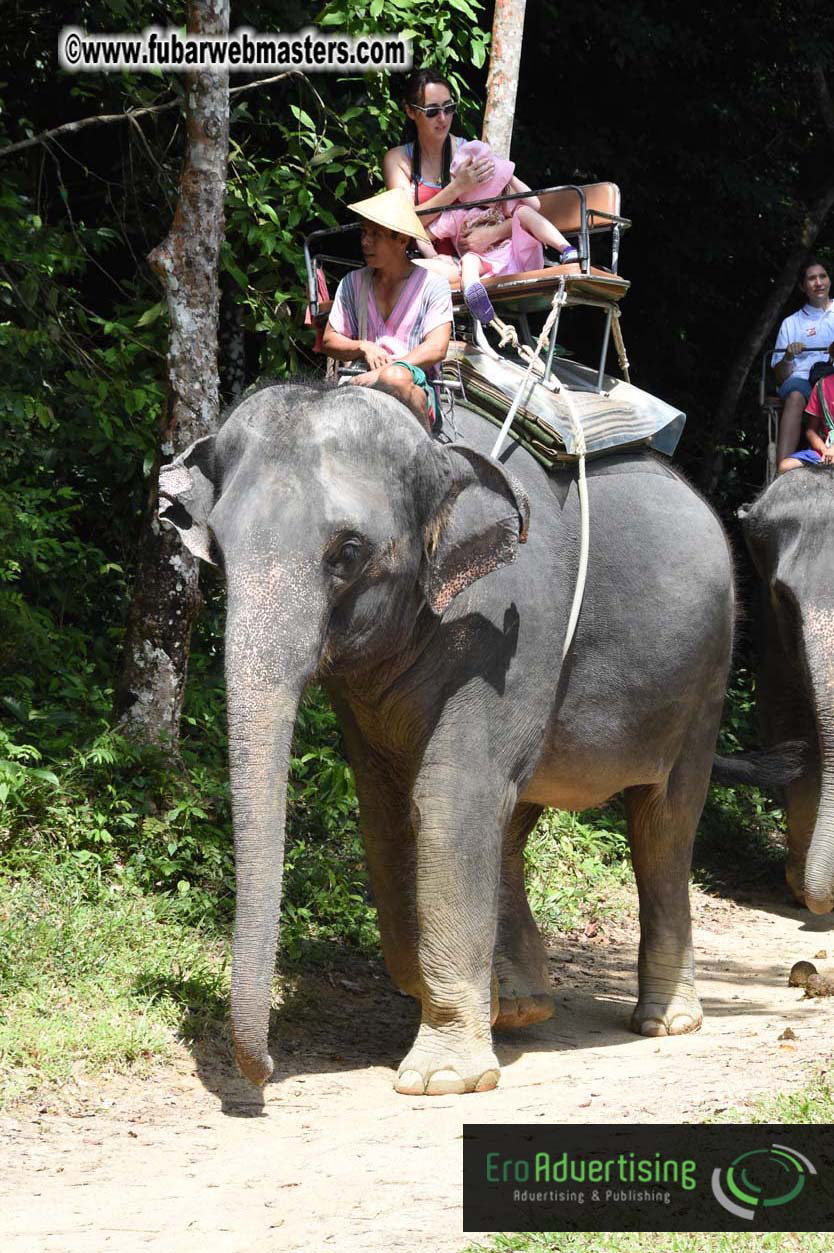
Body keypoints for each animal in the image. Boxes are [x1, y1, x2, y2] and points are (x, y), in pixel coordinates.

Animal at [159, 380, 734, 1095]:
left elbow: (446, 802)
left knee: (665, 824)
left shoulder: (506, 632)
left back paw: (665, 1023)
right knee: (516, 816)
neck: (430, 441)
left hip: (707, 675)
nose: (263, 1076)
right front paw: (471, 1008)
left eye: (348, 553)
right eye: (219, 547)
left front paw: (442, 1079)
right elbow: (385, 810)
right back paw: (522, 1007)